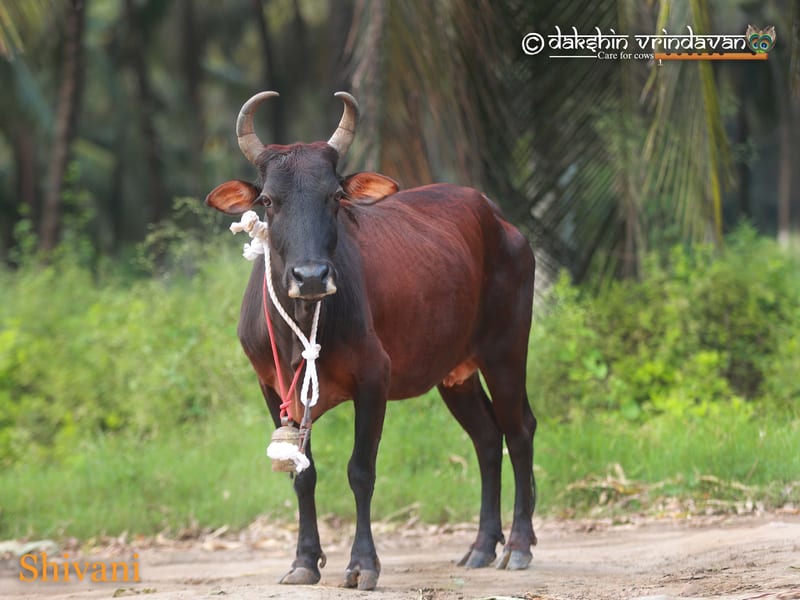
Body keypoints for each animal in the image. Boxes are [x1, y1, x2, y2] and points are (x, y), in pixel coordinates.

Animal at [205, 91, 537, 591]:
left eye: (335, 196)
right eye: (267, 199)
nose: (310, 276)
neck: (304, 324)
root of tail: (499, 220)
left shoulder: (374, 380)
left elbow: (360, 471)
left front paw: (362, 564)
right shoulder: (271, 387)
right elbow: (303, 475)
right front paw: (304, 561)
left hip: (506, 353)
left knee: (518, 432)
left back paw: (517, 544)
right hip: (455, 373)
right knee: (486, 437)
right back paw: (481, 546)